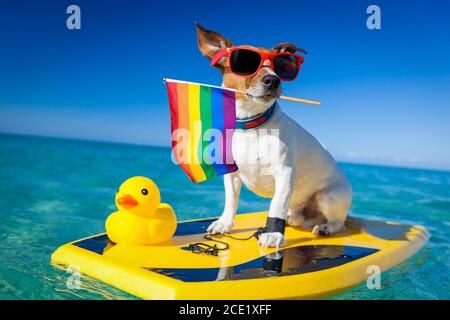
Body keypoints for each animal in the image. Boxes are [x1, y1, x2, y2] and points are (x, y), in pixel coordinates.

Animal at [196, 23, 352, 248]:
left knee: (339, 223)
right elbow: (231, 200)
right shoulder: (231, 174)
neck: (250, 127)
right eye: (246, 63)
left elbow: (276, 204)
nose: (273, 80)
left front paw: (273, 234)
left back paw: (325, 228)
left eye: (280, 67)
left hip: (328, 196)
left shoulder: (285, 173)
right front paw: (224, 223)